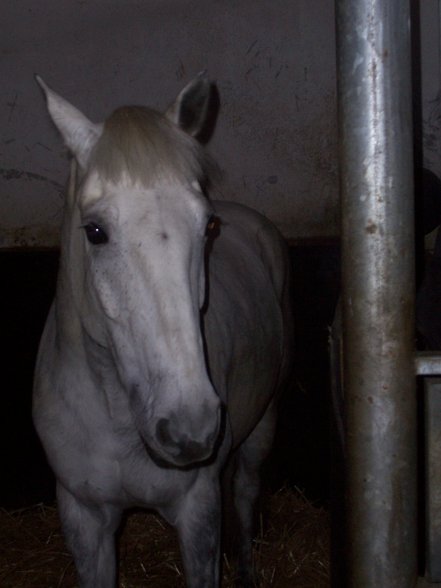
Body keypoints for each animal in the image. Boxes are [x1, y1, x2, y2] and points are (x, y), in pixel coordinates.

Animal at [33, 74, 292, 588]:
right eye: (95, 231)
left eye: (208, 226)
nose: (191, 429)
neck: (116, 415)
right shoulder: (83, 518)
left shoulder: (197, 513)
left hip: (263, 426)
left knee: (245, 494)